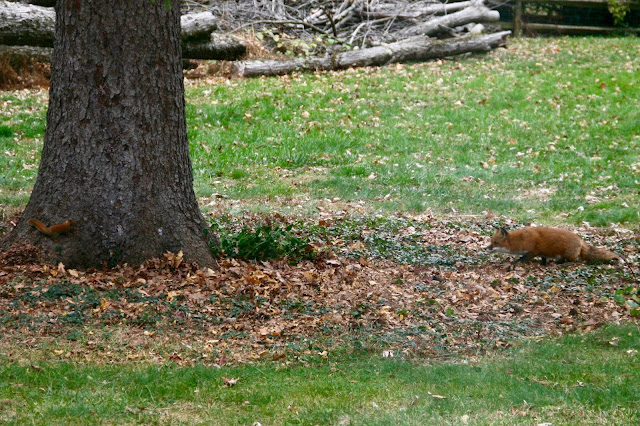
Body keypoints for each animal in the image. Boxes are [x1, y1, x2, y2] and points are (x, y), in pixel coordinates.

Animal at [488, 226, 624, 262]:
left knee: (569, 260)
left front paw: (515, 263)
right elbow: (543, 259)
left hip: (567, 255)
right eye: (491, 241)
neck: (520, 239)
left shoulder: (533, 251)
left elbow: (523, 259)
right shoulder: (541, 253)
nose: (486, 248)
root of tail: (580, 239)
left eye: (495, 242)